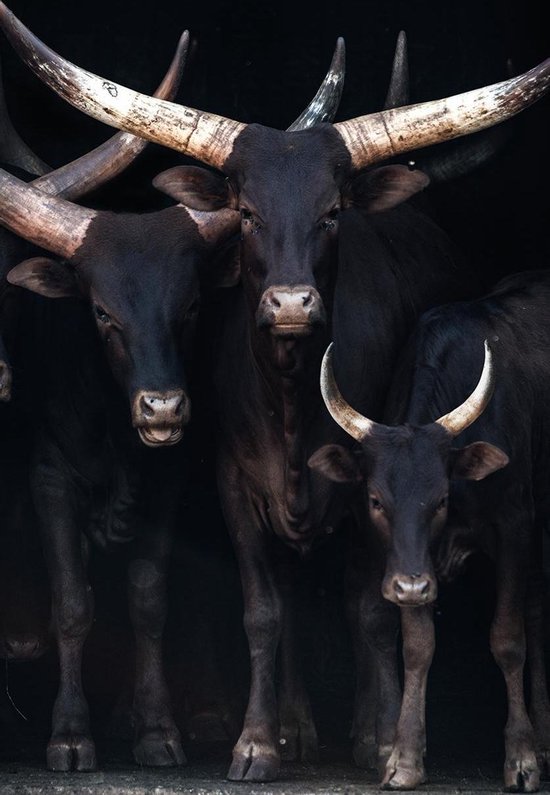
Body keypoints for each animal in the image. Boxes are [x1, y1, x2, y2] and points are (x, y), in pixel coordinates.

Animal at [0, 32, 348, 772]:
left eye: (188, 309)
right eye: (101, 313)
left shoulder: (170, 477)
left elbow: (149, 595)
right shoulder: (49, 476)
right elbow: (72, 600)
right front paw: (69, 734)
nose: (162, 410)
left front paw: (157, 728)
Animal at [312, 270, 550, 792]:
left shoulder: (516, 529)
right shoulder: (409, 562)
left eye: (441, 498)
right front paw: (404, 758)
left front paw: (521, 759)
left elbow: (508, 639)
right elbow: (419, 647)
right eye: (375, 500)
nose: (411, 587)